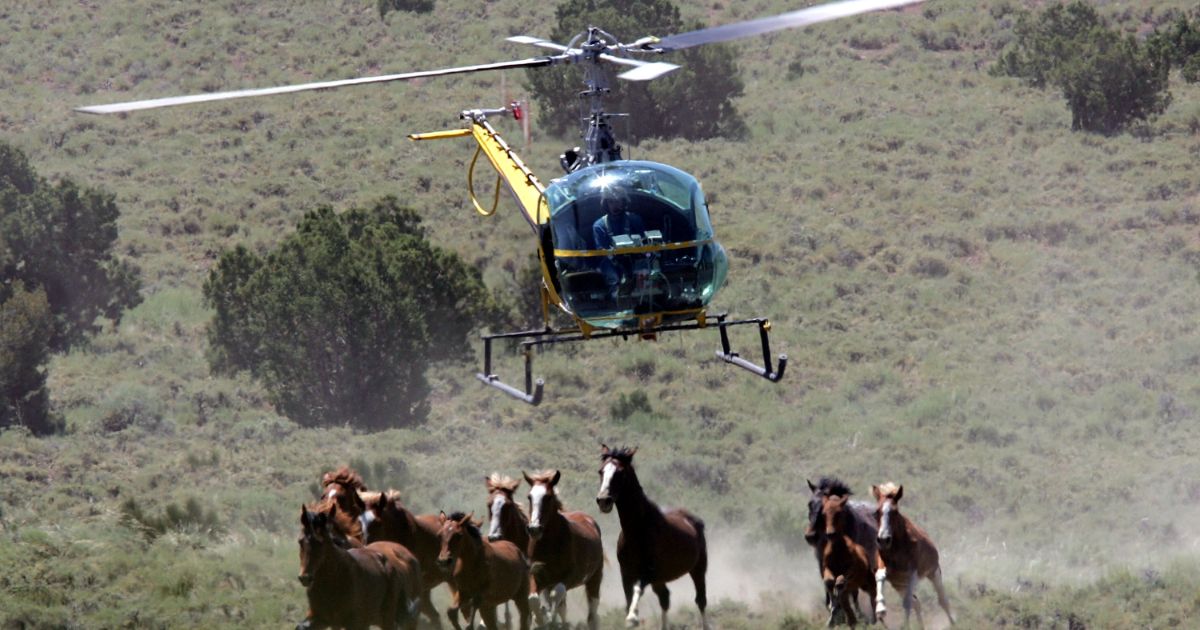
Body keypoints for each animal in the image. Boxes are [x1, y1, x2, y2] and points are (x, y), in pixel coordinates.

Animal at [525, 465, 604, 628]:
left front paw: (549, 618)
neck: (549, 545)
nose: (534, 529)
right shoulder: (536, 576)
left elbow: (557, 596)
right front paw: (540, 620)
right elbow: (533, 599)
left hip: (594, 579)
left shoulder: (568, 577)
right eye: (529, 497)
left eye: (548, 497)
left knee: (592, 613)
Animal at [595, 444, 705, 624]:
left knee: (701, 601)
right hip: (661, 580)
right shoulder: (626, 573)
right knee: (665, 599)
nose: (604, 500)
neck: (638, 530)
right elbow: (629, 600)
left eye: (620, 472)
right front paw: (630, 617)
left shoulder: (648, 573)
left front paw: (633, 617)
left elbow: (638, 589)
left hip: (698, 569)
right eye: (601, 471)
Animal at [820, 494, 878, 624]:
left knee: (865, 592)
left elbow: (842, 582)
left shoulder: (851, 571)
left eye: (839, 513)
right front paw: (832, 616)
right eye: (824, 513)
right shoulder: (827, 568)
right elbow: (829, 581)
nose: (830, 534)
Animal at [873, 482, 955, 624]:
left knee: (942, 600)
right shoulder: (887, 569)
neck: (898, 548)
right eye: (877, 512)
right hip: (899, 585)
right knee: (916, 603)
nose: (883, 540)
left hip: (933, 573)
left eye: (895, 512)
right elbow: (879, 576)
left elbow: (907, 603)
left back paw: (953, 622)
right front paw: (880, 609)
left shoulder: (914, 573)